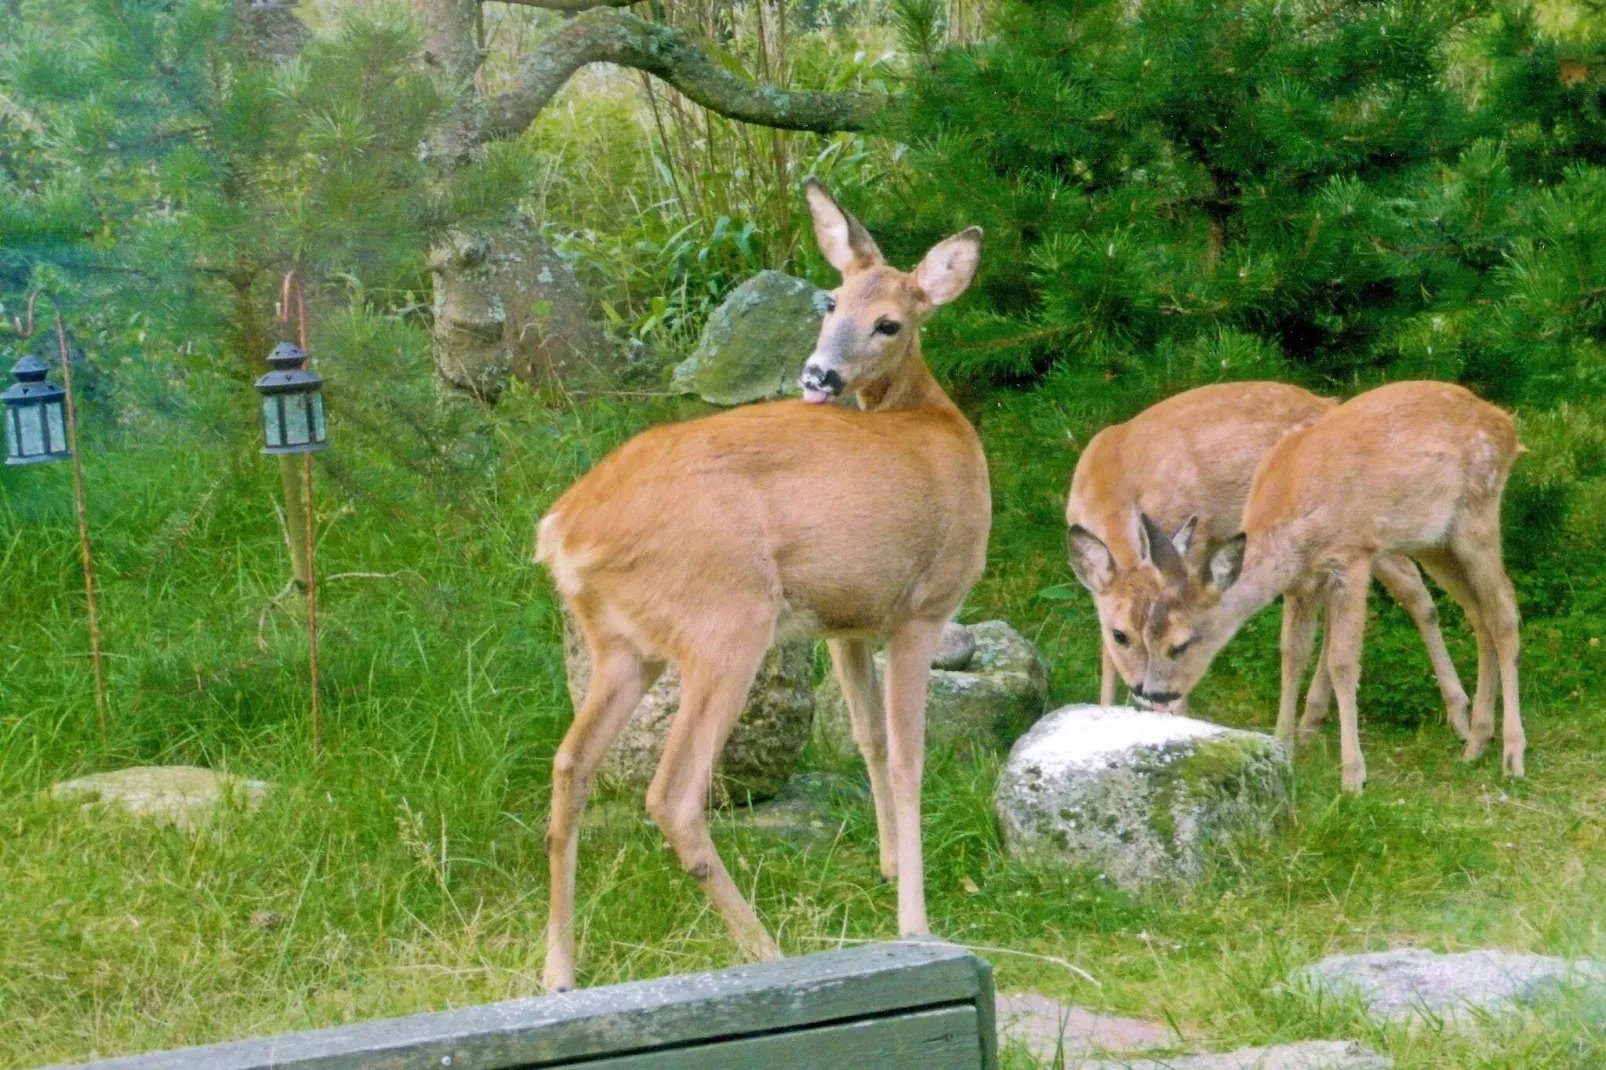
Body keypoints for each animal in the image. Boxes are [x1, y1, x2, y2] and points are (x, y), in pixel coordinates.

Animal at [536, 179, 989, 989]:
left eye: (889, 321)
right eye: (829, 302)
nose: (818, 376)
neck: (934, 423)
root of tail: (561, 530)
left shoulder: (845, 622)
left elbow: (869, 739)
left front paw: (885, 865)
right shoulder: (923, 608)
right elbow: (909, 755)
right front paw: (915, 921)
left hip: (623, 644)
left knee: (570, 767)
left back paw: (558, 972)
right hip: (727, 620)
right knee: (673, 794)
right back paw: (768, 953)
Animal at [1117, 379, 1516, 787]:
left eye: (1180, 645)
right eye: (1145, 634)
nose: (1153, 693)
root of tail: (1506, 424)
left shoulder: (1352, 557)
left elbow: (1343, 662)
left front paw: (1353, 776)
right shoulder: (1301, 581)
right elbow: (1292, 654)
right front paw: (1282, 746)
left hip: (1478, 517)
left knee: (1503, 612)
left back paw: (1511, 754)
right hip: (1434, 543)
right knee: (1479, 616)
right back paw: (1476, 739)